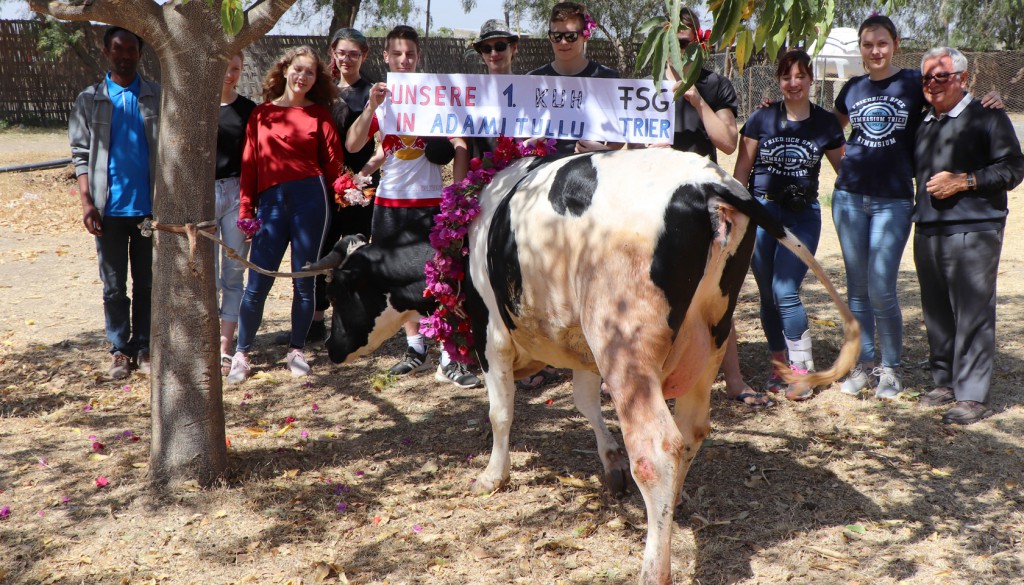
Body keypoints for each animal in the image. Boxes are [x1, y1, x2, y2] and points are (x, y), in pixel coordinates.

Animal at [309, 147, 856, 585]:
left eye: (337, 290)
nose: (331, 350)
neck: (469, 234)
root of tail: (708, 183)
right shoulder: (583, 345)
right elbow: (584, 401)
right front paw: (609, 462)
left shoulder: (492, 336)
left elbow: (501, 414)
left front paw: (493, 476)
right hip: (708, 340)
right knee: (691, 432)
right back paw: (672, 508)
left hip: (626, 347)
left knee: (658, 449)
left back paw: (653, 566)